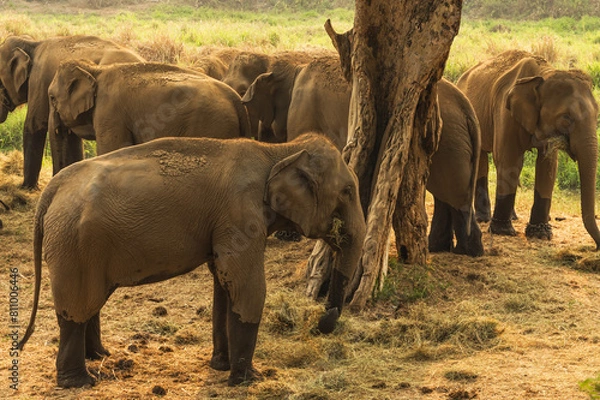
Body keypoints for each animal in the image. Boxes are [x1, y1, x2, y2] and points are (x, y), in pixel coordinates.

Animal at [18, 134, 366, 388]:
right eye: (348, 192)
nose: (321, 322)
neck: (279, 150)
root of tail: (52, 190)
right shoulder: (239, 216)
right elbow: (247, 286)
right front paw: (247, 380)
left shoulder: (224, 225)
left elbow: (224, 285)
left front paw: (222, 367)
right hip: (73, 245)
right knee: (76, 309)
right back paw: (80, 382)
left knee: (87, 304)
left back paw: (100, 356)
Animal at [47, 60, 251, 162]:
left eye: (51, 98)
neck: (95, 70)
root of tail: (236, 100)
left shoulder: (110, 113)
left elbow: (111, 149)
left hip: (212, 124)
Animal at [454, 48, 600, 245]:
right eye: (566, 117)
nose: (596, 246)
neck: (544, 73)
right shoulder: (505, 110)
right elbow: (510, 159)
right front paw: (503, 231)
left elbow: (547, 166)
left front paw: (541, 234)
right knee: (483, 159)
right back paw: (483, 219)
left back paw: (512, 217)